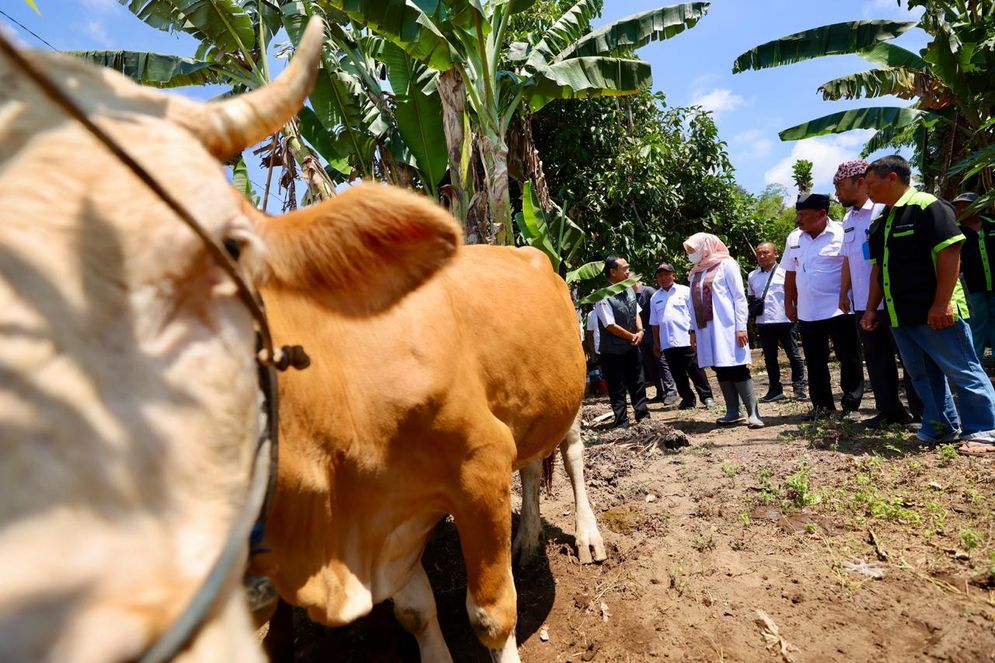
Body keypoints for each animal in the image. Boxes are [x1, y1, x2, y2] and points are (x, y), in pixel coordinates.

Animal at [248, 188, 608, 663]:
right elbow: (414, 612)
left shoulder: (482, 463)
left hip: (574, 389)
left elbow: (490, 615)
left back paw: (588, 536)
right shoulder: (395, 516)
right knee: (532, 467)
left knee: (572, 455)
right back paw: (528, 539)